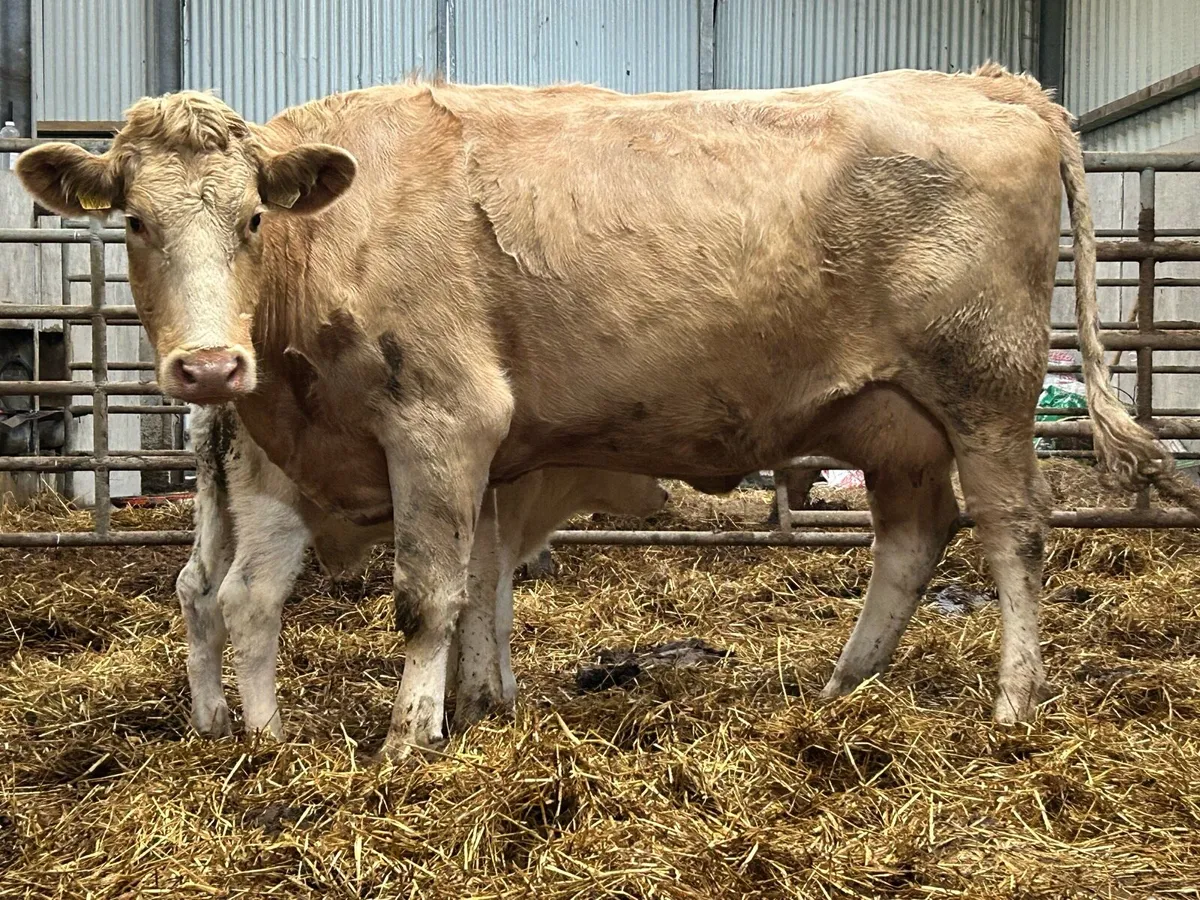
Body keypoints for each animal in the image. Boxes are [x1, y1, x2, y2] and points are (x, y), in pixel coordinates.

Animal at [178, 402, 668, 738]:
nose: (664, 494)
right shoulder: (499, 527)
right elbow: (494, 611)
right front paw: (496, 695)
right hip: (273, 513)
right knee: (248, 599)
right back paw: (269, 732)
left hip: (219, 511)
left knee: (197, 590)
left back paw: (211, 717)